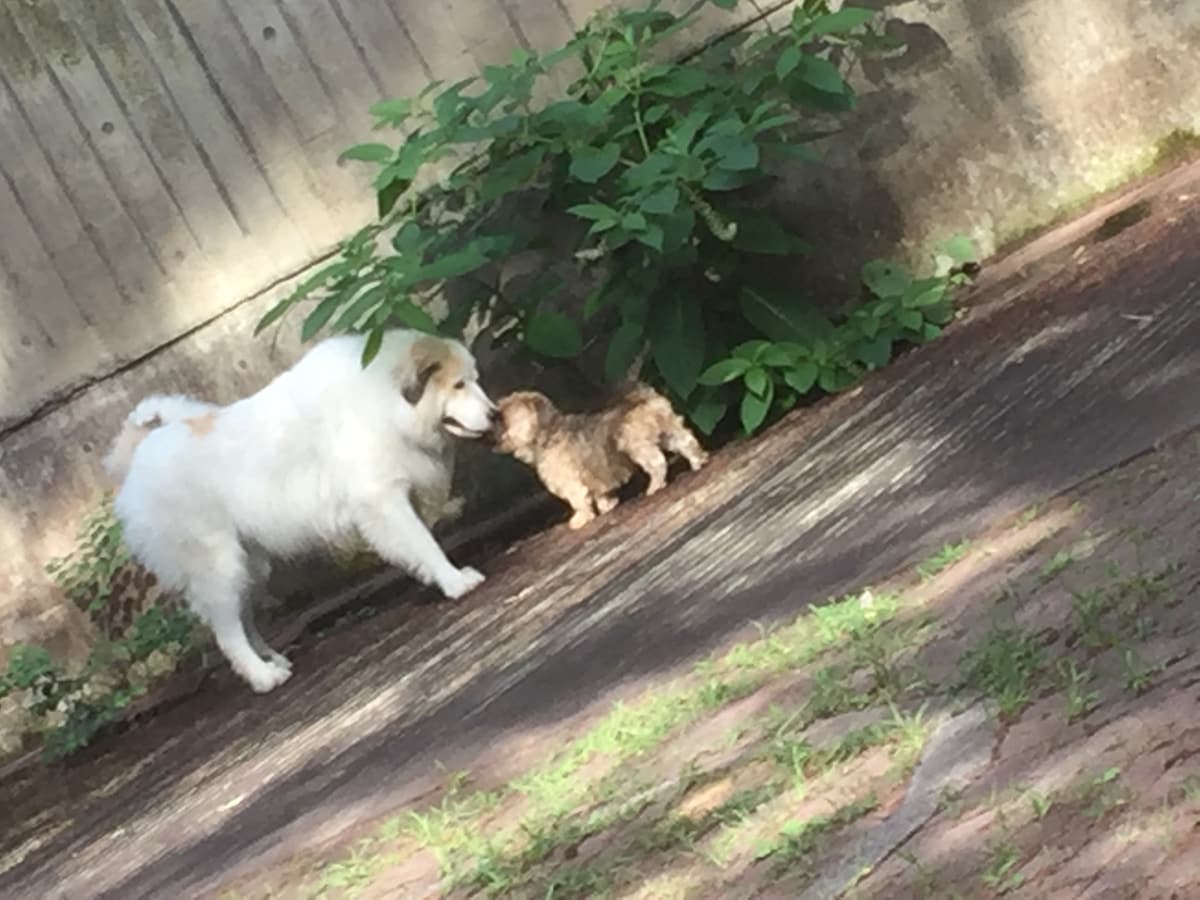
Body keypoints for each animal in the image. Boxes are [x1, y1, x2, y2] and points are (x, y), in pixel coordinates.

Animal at [104, 333, 496, 696]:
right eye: (458, 385)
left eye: (474, 379)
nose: (494, 415)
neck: (382, 398)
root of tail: (137, 455)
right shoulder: (383, 500)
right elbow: (425, 543)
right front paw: (455, 582)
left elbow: (420, 544)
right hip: (218, 567)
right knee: (227, 633)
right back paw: (263, 678)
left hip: (249, 566)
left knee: (243, 619)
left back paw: (271, 659)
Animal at [492, 386, 705, 528]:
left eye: (502, 417)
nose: (490, 418)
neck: (545, 436)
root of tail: (643, 398)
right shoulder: (594, 477)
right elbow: (600, 493)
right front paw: (608, 506)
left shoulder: (571, 484)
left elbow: (578, 501)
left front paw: (581, 519)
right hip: (669, 432)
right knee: (687, 443)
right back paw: (698, 463)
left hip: (636, 445)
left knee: (657, 462)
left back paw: (655, 486)